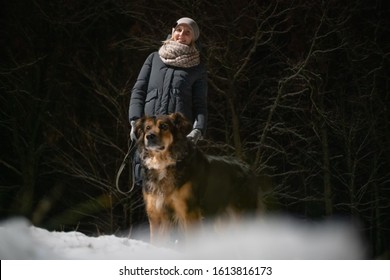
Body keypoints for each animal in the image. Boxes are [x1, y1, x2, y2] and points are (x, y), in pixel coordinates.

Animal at [134, 112, 262, 244]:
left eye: (164, 126)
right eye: (147, 128)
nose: (149, 136)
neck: (163, 164)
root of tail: (248, 168)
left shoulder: (188, 211)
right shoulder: (155, 214)